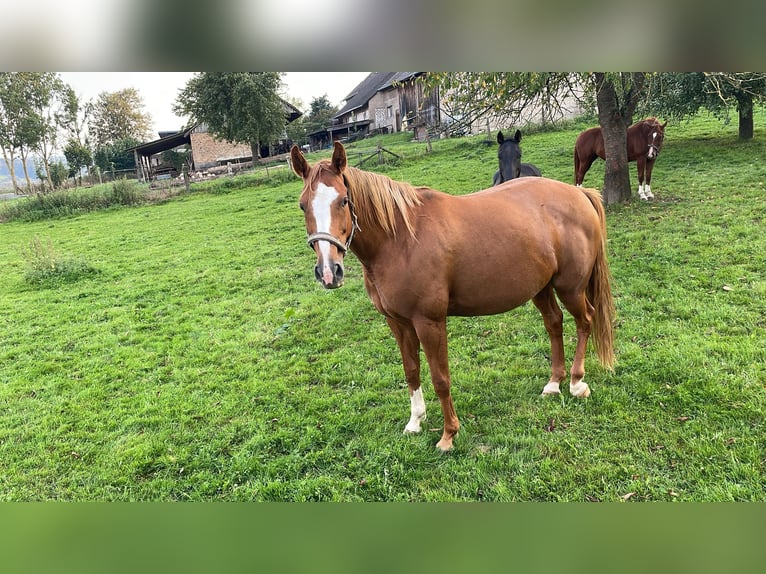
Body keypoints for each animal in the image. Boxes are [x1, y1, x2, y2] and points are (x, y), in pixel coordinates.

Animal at [290, 142, 616, 452]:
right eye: (303, 205)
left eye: (343, 201)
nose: (328, 271)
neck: (400, 240)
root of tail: (579, 193)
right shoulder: (398, 323)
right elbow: (411, 371)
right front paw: (415, 422)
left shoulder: (429, 322)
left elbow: (440, 378)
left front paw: (448, 435)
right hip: (541, 288)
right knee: (554, 323)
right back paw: (554, 383)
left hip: (570, 288)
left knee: (585, 320)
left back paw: (576, 382)